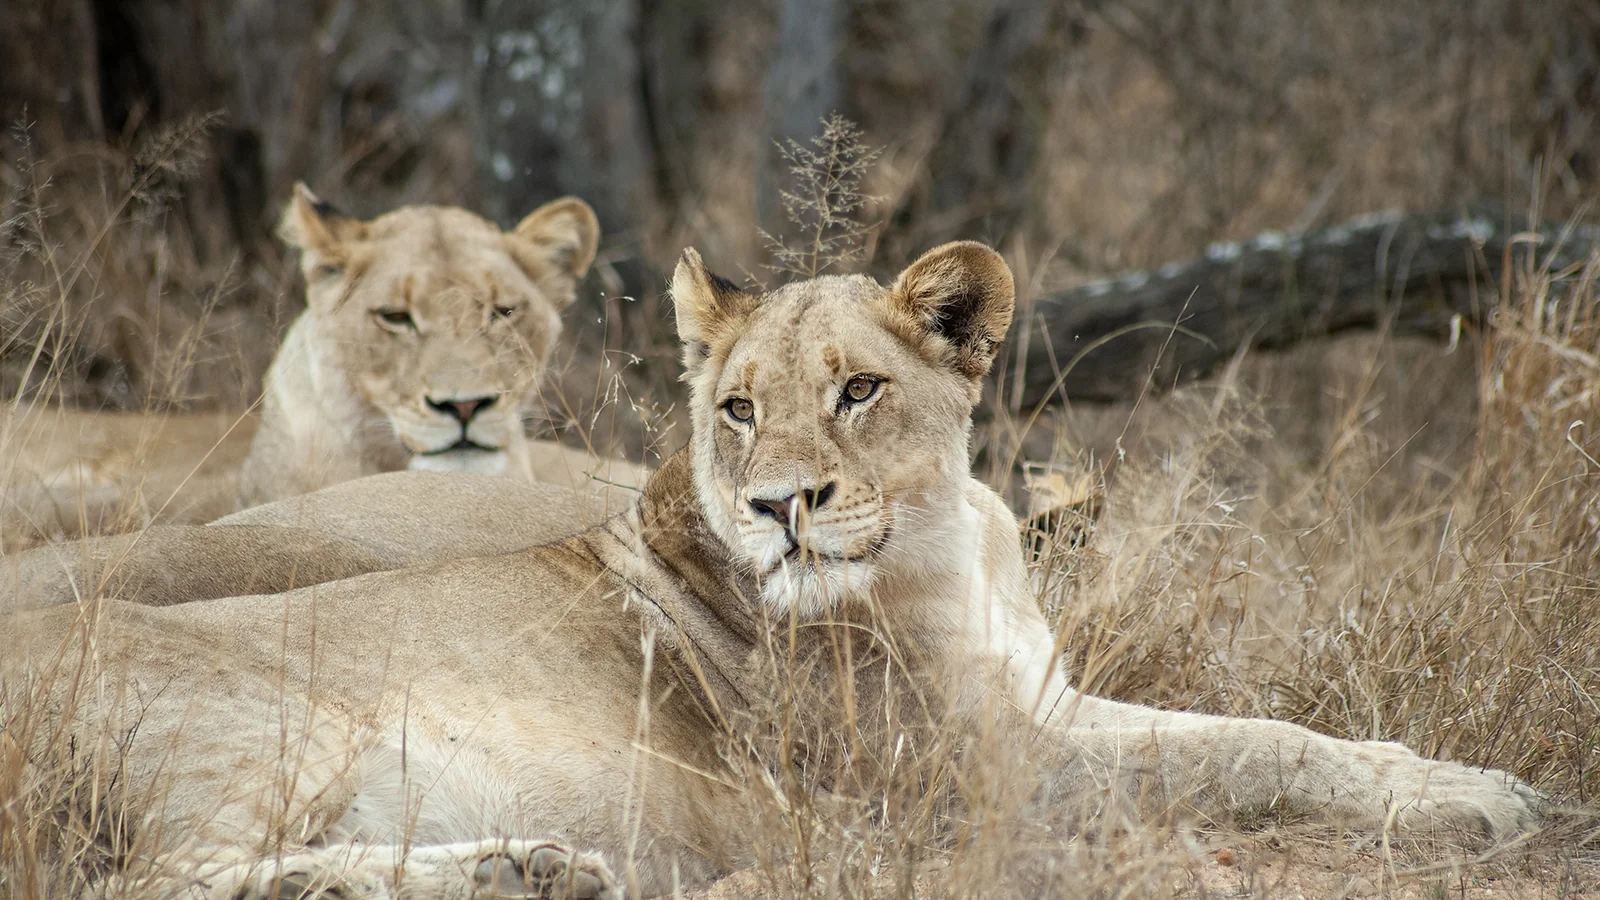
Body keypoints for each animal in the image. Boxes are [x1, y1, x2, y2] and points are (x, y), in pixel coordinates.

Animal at [4, 243, 1542, 899]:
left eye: (858, 391)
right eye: (737, 406)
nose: (780, 508)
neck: (951, 538)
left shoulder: (1039, 706)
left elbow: (1267, 730)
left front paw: (1451, 777)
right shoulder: (970, 781)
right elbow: (1238, 758)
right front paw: (1479, 802)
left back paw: (526, 868)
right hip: (257, 731)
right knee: (160, 881)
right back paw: (509, 874)